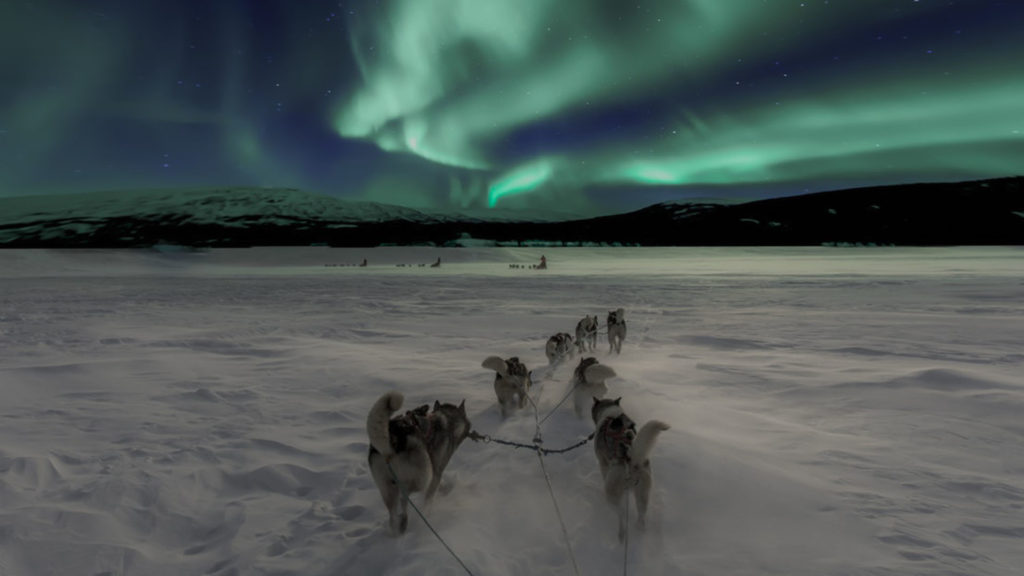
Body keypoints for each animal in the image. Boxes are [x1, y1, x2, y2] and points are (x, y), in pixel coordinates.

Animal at [368, 389, 471, 532]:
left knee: (393, 514)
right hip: (423, 475)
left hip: (386, 486)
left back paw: (399, 526)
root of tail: (393, 436)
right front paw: (428, 512)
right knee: (404, 497)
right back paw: (404, 518)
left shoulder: (435, 470)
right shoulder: (436, 472)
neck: (447, 422)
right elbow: (429, 497)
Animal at [593, 397, 671, 541]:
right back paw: (639, 528)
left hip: (612, 496)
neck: (611, 414)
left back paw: (621, 534)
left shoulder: (603, 463)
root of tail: (632, 461)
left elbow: (603, 473)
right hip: (642, 495)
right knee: (641, 516)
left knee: (621, 516)